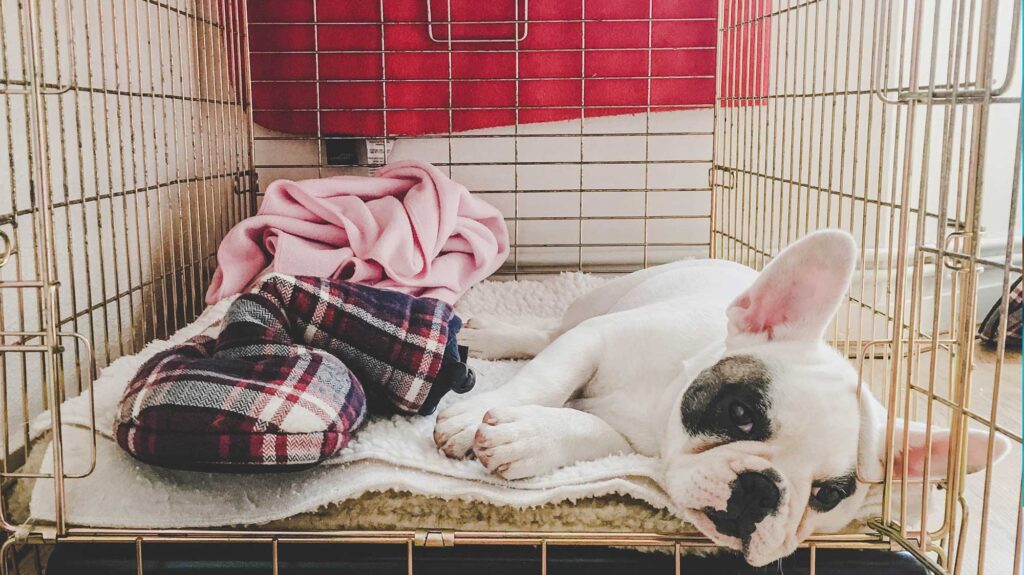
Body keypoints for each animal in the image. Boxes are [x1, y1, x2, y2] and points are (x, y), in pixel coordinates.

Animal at [430, 226, 1007, 560]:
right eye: (740, 412)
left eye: (827, 496)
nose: (761, 490)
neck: (661, 402)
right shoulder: (594, 339)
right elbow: (546, 375)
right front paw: (472, 417)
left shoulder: (632, 442)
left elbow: (589, 430)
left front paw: (528, 438)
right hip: (598, 303)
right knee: (549, 333)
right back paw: (494, 335)